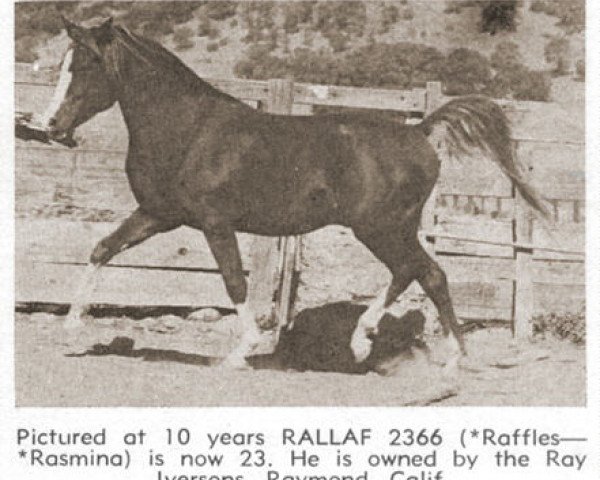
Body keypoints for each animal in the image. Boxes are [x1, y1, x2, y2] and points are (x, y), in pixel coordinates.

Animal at [42, 15, 548, 368]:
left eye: (86, 64)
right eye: (64, 64)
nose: (50, 124)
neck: (188, 131)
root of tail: (421, 131)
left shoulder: (214, 222)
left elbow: (235, 280)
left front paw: (239, 353)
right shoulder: (158, 214)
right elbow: (102, 249)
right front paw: (69, 330)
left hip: (381, 228)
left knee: (423, 273)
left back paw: (423, 355)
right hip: (390, 229)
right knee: (421, 273)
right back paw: (397, 349)